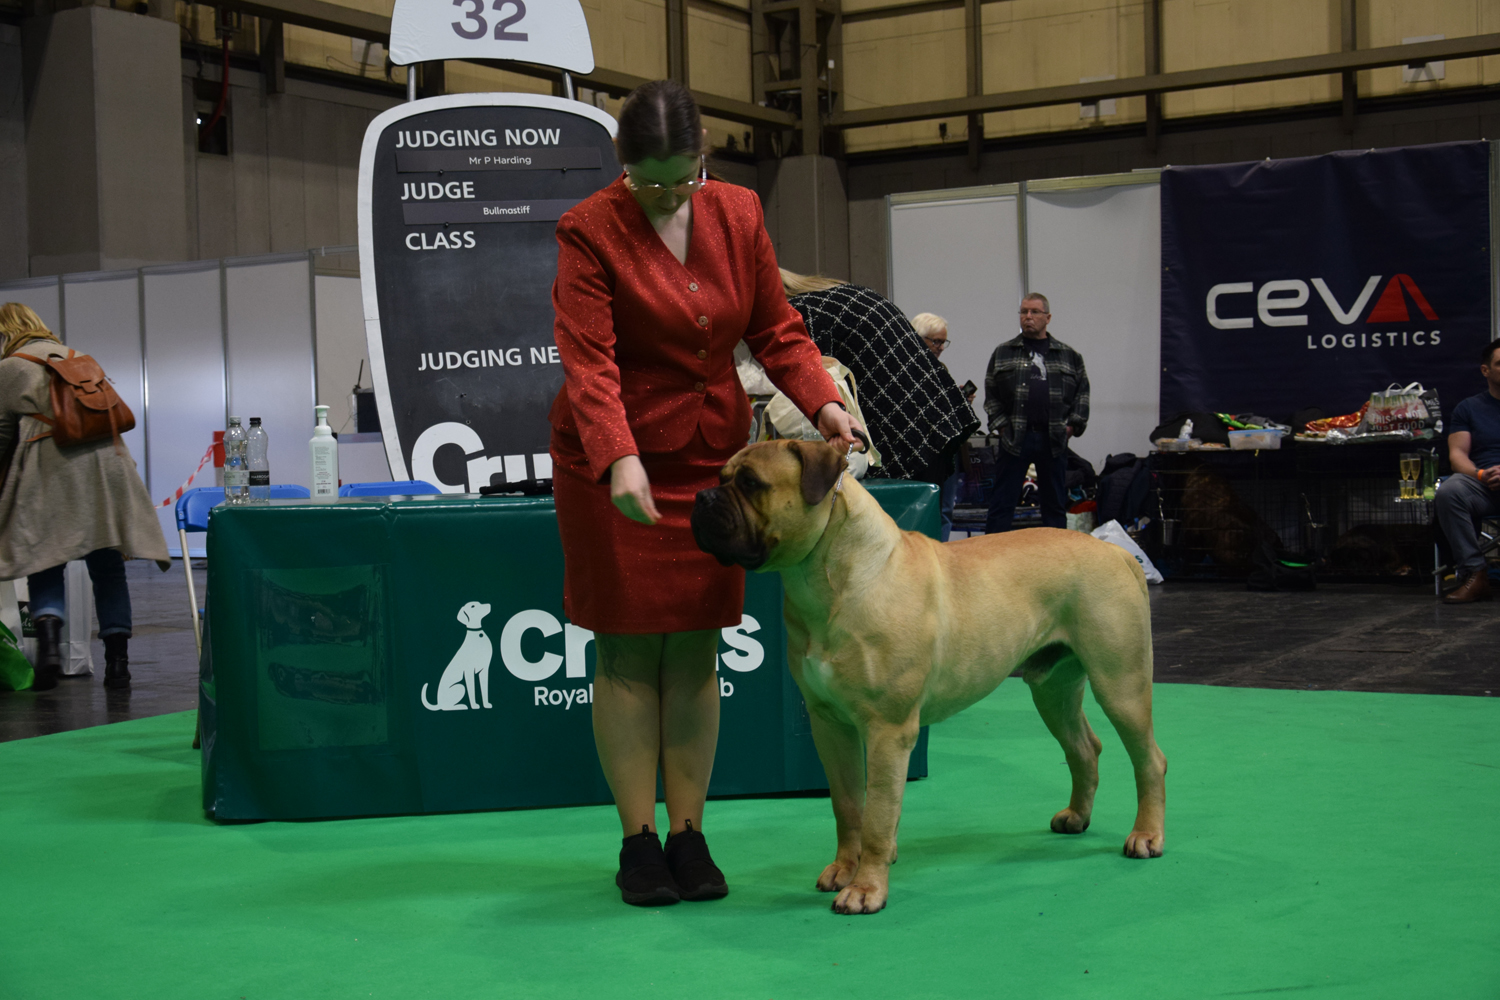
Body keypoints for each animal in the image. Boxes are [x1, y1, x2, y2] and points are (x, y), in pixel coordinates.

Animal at [691, 440, 1166, 915]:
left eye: (751, 483)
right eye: (720, 478)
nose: (701, 498)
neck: (831, 578)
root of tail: (1116, 553)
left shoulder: (888, 729)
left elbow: (878, 813)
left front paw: (866, 888)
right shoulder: (830, 725)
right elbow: (848, 806)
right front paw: (845, 868)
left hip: (1121, 684)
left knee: (1149, 760)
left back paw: (1146, 835)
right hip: (1053, 689)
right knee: (1084, 747)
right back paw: (1077, 817)